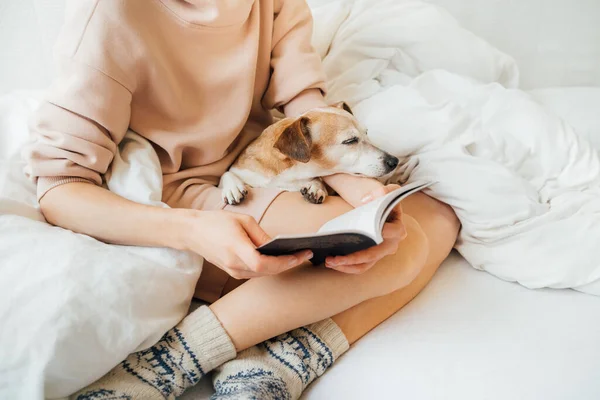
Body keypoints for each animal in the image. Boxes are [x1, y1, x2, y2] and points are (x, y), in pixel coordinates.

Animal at [219, 101, 398, 205]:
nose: (394, 161)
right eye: (350, 141)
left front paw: (316, 186)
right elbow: (227, 174)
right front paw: (232, 187)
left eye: (367, 133)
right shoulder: (243, 169)